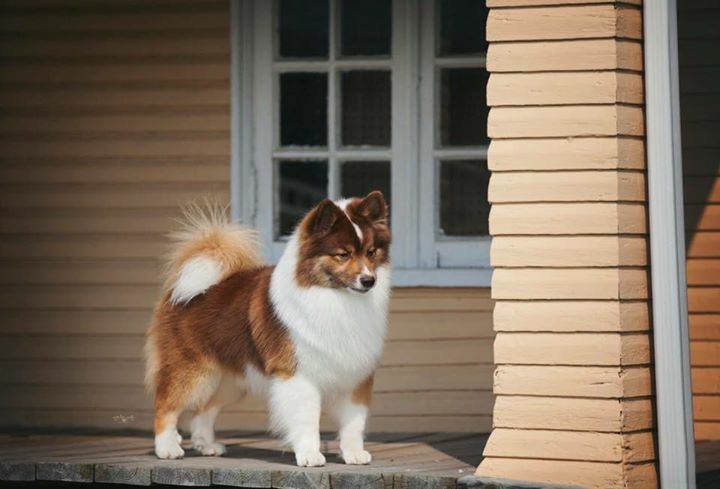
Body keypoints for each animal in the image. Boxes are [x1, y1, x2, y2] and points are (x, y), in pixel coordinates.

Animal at [144, 191, 390, 466]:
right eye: (343, 254)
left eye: (371, 252)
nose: (369, 280)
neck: (333, 297)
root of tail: (183, 289)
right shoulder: (298, 375)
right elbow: (307, 420)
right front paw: (310, 455)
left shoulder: (355, 374)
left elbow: (354, 422)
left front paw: (354, 453)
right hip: (192, 372)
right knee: (165, 406)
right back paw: (167, 449)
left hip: (229, 380)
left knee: (204, 410)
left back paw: (206, 445)